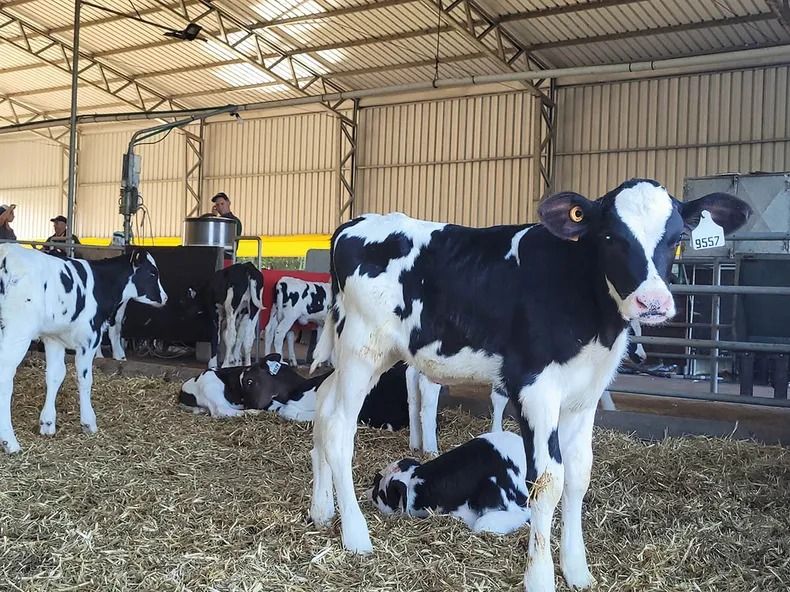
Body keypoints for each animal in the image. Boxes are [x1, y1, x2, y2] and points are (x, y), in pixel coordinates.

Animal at [0, 246, 167, 453]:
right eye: (153, 273)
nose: (165, 298)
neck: (101, 283)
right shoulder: (90, 338)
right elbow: (85, 379)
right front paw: (89, 423)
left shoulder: (53, 337)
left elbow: (55, 375)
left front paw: (48, 423)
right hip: (18, 333)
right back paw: (10, 442)